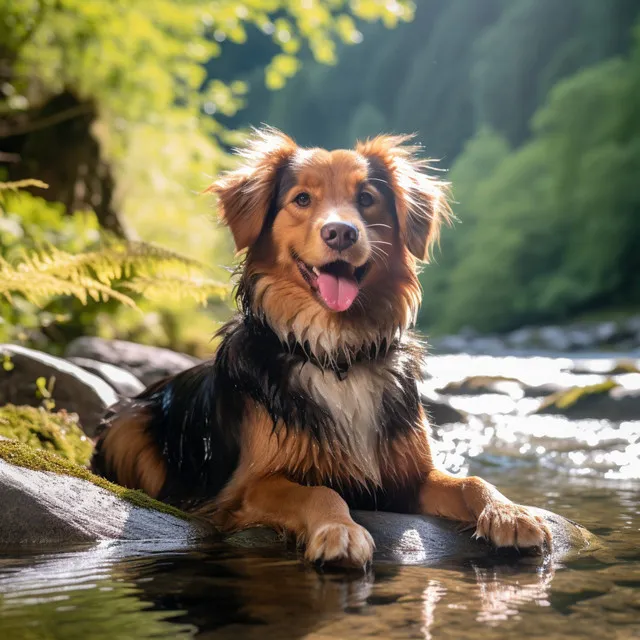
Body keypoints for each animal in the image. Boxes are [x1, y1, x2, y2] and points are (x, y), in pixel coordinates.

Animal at [92, 127, 552, 568]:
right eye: (302, 199)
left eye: (366, 199)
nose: (341, 232)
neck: (336, 354)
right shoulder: (247, 487)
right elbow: (318, 492)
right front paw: (340, 532)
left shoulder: (408, 479)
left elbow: (472, 480)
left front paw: (510, 512)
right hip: (125, 427)